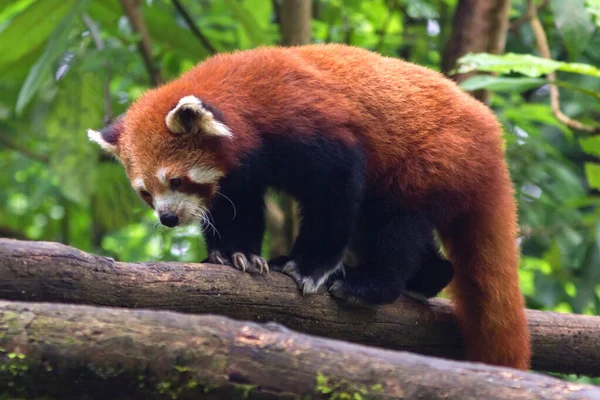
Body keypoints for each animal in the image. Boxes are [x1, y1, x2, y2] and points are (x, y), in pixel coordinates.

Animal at [88, 43, 528, 368]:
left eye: (175, 181)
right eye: (145, 193)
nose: (167, 218)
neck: (242, 97)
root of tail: (491, 137)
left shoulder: (305, 123)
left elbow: (335, 189)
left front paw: (308, 267)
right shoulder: (240, 174)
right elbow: (237, 209)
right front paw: (235, 254)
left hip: (433, 160)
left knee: (396, 226)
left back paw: (371, 283)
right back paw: (428, 276)